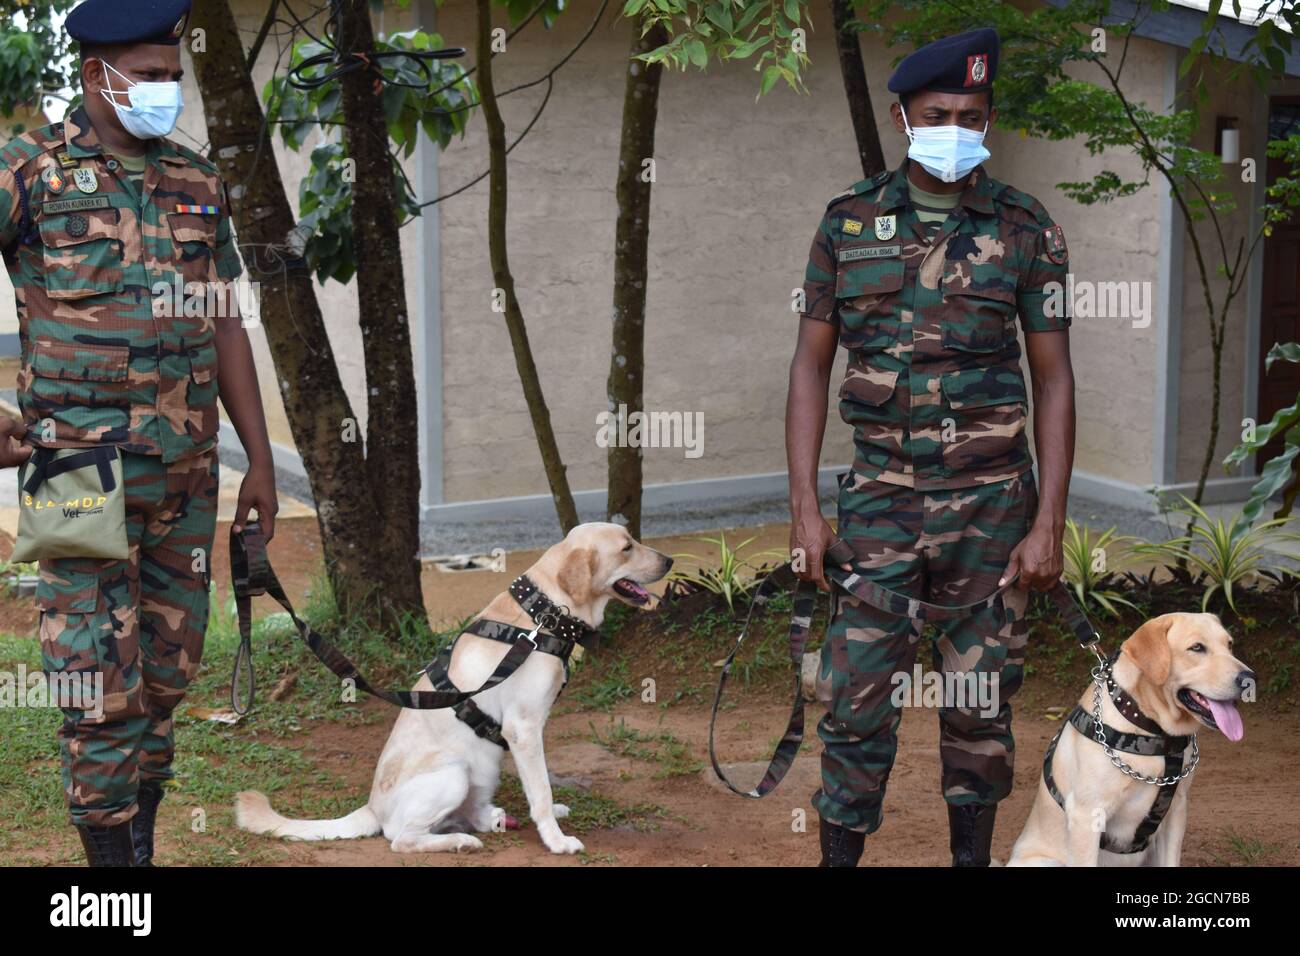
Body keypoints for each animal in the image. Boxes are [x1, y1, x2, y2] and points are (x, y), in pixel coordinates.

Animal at [232, 522, 670, 858]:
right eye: (627, 547)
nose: (670, 561)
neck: (543, 614)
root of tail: (372, 807)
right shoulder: (523, 729)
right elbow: (541, 791)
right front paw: (557, 842)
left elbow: (540, 787)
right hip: (453, 773)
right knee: (401, 838)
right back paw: (459, 841)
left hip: (485, 768)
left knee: (469, 815)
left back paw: (489, 820)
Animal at [1008, 613, 1253, 868]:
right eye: (1197, 647)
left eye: (1229, 645)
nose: (1249, 678)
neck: (1152, 729)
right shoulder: (1087, 816)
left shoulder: (1177, 809)